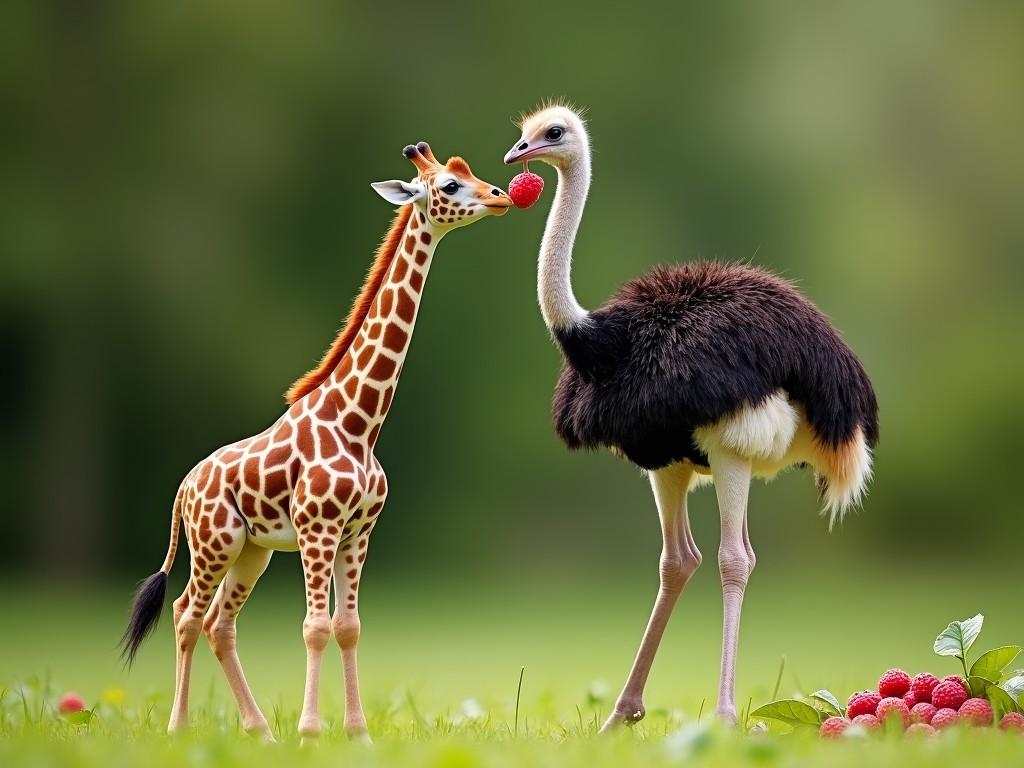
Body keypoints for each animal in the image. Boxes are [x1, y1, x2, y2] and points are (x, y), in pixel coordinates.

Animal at [121, 141, 512, 741]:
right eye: (448, 185)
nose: (500, 197)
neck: (358, 420)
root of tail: (184, 488)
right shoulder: (317, 528)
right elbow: (314, 626)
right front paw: (311, 731)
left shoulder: (358, 531)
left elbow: (348, 625)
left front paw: (357, 733)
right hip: (215, 541)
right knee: (187, 613)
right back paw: (180, 729)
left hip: (252, 551)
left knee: (219, 623)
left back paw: (260, 731)